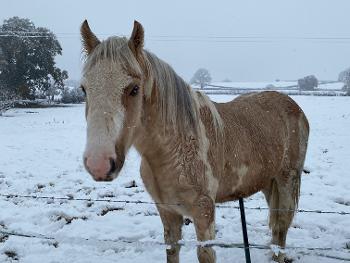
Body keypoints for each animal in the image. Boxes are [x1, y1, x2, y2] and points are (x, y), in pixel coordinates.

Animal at [80, 19, 308, 262]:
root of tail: (293, 106)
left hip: (286, 181)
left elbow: (205, 254)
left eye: (134, 89)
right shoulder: (167, 212)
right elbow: (172, 250)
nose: (98, 164)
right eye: (84, 89)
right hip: (267, 182)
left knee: (281, 228)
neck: (174, 150)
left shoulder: (204, 213)